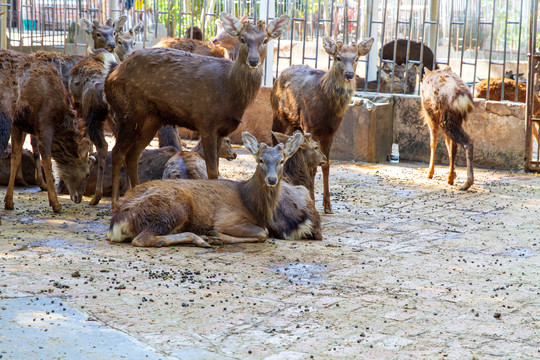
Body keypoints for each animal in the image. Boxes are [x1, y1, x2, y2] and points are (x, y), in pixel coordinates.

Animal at [0, 51, 94, 214]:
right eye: (87, 174)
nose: (78, 198)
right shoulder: (45, 121)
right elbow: (47, 161)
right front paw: (55, 203)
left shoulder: (18, 124)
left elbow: (15, 157)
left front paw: (9, 201)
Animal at [106, 11, 292, 208]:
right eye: (242, 38)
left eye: (265, 40)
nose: (253, 60)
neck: (229, 90)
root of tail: (110, 78)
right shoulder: (206, 121)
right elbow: (212, 170)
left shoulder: (222, 129)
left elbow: (216, 168)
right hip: (127, 111)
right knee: (118, 152)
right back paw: (115, 203)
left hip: (151, 119)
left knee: (133, 154)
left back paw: (135, 194)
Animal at [106, 132, 304, 248]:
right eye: (260, 160)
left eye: (282, 161)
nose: (271, 179)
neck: (251, 203)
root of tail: (116, 222)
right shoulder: (227, 218)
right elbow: (264, 233)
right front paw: (217, 235)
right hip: (171, 207)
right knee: (142, 239)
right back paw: (199, 238)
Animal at [272, 35, 374, 214]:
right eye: (338, 57)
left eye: (356, 58)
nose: (349, 74)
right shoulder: (309, 126)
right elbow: (312, 167)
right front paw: (312, 200)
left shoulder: (331, 133)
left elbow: (326, 164)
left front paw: (328, 205)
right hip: (278, 116)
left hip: (293, 125)